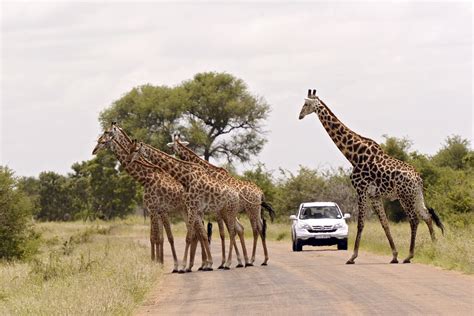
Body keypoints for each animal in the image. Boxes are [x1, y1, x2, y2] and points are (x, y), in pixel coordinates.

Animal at [91, 128, 184, 272]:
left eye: (103, 141)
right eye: (99, 139)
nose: (94, 151)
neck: (146, 177)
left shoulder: (157, 210)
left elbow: (161, 237)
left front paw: (160, 263)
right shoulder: (155, 210)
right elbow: (156, 237)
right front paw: (158, 261)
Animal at [128, 140, 243, 272]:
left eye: (136, 150)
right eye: (130, 149)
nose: (129, 160)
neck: (186, 177)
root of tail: (236, 194)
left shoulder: (191, 208)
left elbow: (189, 237)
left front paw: (182, 266)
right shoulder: (193, 209)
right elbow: (201, 235)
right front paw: (206, 263)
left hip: (230, 211)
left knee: (232, 232)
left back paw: (229, 263)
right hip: (225, 211)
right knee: (234, 231)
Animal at [168, 132, 278, 266]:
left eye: (172, 147)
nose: (171, 154)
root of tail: (261, 193)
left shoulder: (218, 211)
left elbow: (223, 233)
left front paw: (223, 262)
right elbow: (227, 231)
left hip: (251, 210)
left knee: (256, 229)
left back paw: (252, 259)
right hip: (256, 211)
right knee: (260, 228)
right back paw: (262, 259)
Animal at [300, 89, 444, 264]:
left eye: (305, 104)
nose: (299, 115)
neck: (354, 155)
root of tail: (418, 178)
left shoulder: (361, 190)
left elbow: (360, 224)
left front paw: (352, 257)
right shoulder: (374, 195)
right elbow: (385, 223)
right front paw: (394, 255)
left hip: (404, 196)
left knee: (414, 219)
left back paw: (409, 255)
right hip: (416, 195)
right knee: (427, 216)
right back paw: (435, 248)